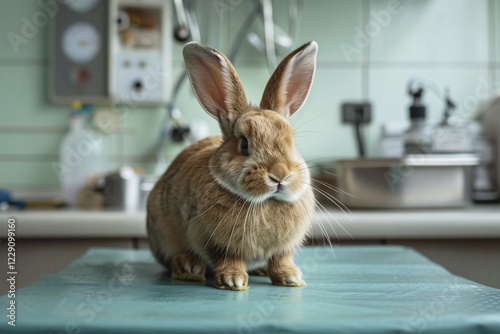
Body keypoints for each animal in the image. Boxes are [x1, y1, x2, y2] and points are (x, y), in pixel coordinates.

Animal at [147, 40, 316, 290]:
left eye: (292, 141)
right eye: (244, 144)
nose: (279, 175)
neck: (264, 202)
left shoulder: (284, 247)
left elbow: (280, 259)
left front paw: (290, 278)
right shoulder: (213, 241)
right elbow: (229, 258)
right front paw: (233, 280)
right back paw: (188, 268)